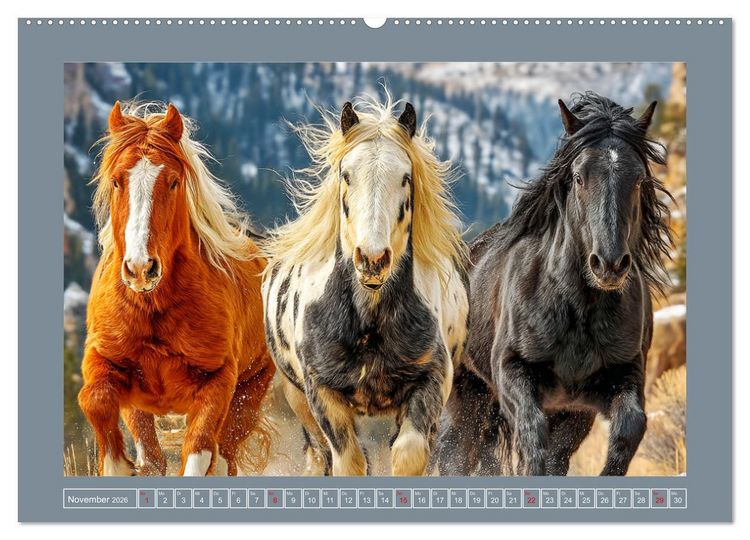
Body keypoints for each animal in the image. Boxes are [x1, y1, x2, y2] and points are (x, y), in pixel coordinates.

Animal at [78, 101, 276, 476]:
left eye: (172, 181)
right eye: (116, 181)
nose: (141, 269)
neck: (153, 307)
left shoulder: (217, 383)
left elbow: (199, 451)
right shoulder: (105, 361)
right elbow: (95, 402)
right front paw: (120, 466)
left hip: (249, 392)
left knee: (224, 456)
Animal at [262, 95, 470, 476]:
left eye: (405, 177)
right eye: (346, 175)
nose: (373, 259)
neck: (368, 320)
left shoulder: (431, 381)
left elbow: (409, 454)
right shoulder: (321, 392)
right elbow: (349, 462)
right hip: (296, 398)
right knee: (319, 455)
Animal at [434, 92, 674, 476]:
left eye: (639, 179)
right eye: (578, 177)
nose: (609, 265)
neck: (578, 310)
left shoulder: (612, 385)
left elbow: (629, 431)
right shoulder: (512, 373)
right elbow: (533, 440)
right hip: (467, 393)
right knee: (454, 453)